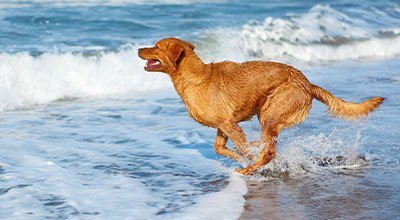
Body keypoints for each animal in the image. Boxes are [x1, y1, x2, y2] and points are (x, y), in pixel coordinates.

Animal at [138, 37, 384, 175]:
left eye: (156, 47)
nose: (139, 49)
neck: (195, 77)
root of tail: (307, 83)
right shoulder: (223, 125)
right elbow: (220, 148)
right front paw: (240, 155)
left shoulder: (229, 124)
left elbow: (242, 147)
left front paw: (246, 157)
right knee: (268, 145)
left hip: (269, 114)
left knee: (270, 152)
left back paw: (248, 169)